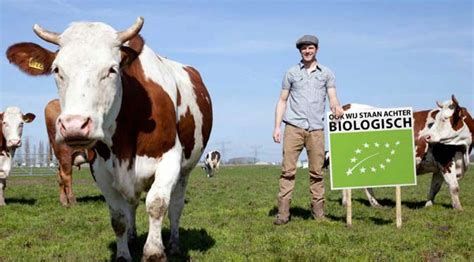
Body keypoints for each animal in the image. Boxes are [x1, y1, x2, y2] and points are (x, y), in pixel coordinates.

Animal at [6, 16, 211, 260]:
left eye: (112, 70)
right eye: (57, 69)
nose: (74, 125)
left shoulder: (169, 158)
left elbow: (157, 205)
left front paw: (154, 253)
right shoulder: (100, 168)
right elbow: (118, 217)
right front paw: (123, 253)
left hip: (185, 169)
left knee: (175, 207)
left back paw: (173, 244)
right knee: (129, 203)